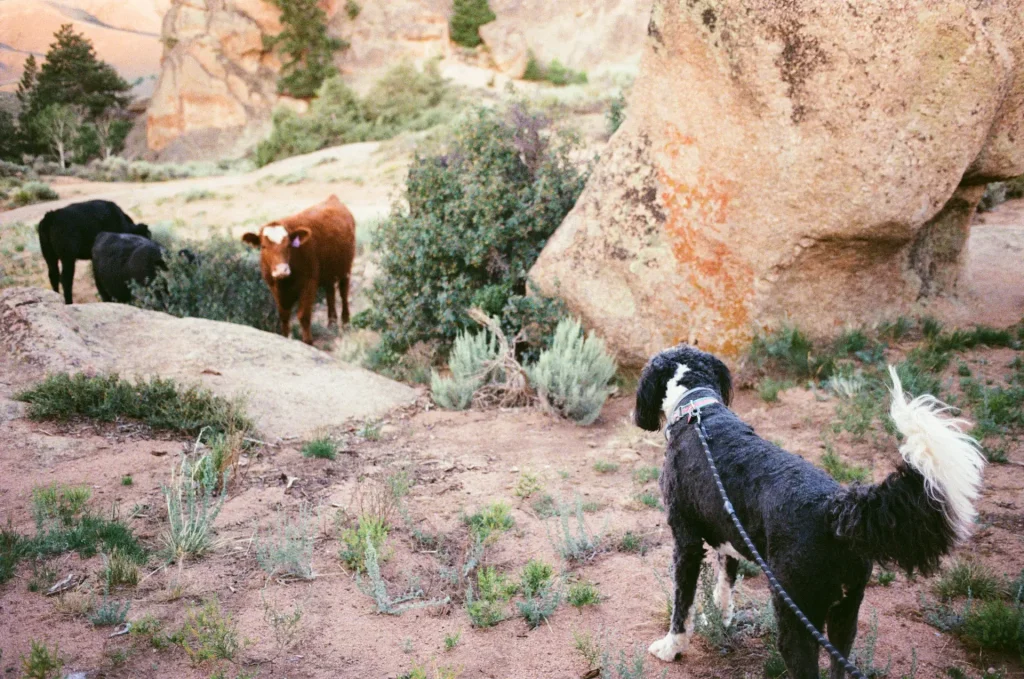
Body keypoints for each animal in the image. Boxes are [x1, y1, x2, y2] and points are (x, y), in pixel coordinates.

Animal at [240, 196, 356, 346]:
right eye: (263, 246)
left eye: (288, 244)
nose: (282, 270)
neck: (285, 282)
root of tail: (332, 198)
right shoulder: (274, 288)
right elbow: (284, 315)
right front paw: (286, 337)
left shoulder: (309, 284)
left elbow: (303, 315)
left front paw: (308, 342)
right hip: (328, 272)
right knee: (330, 292)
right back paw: (332, 323)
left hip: (345, 268)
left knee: (343, 293)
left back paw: (346, 323)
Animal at [638, 348, 983, 675]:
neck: (698, 410)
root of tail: (835, 509)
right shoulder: (730, 532)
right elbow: (725, 581)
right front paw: (720, 618)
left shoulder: (685, 542)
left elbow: (682, 604)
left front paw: (671, 647)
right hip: (844, 616)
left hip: (796, 614)